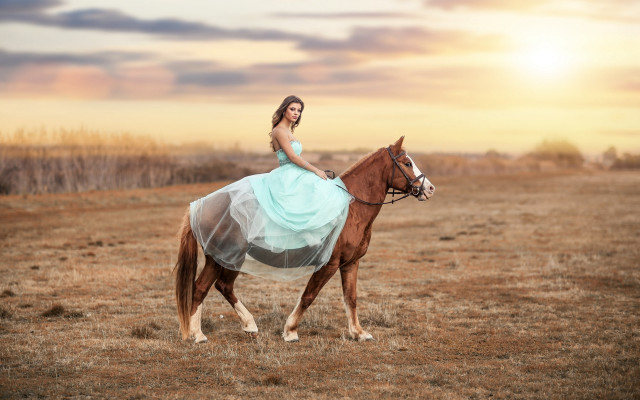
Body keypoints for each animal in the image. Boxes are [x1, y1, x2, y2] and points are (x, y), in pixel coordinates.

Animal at [174, 136, 435, 343]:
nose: (430, 189)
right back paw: (207, 333)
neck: (351, 207)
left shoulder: (351, 263)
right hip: (224, 258)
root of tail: (200, 205)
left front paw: (359, 333)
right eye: (407, 163)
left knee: (214, 287)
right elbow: (309, 296)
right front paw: (290, 331)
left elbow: (351, 298)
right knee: (208, 287)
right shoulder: (329, 264)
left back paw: (232, 328)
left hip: (225, 259)